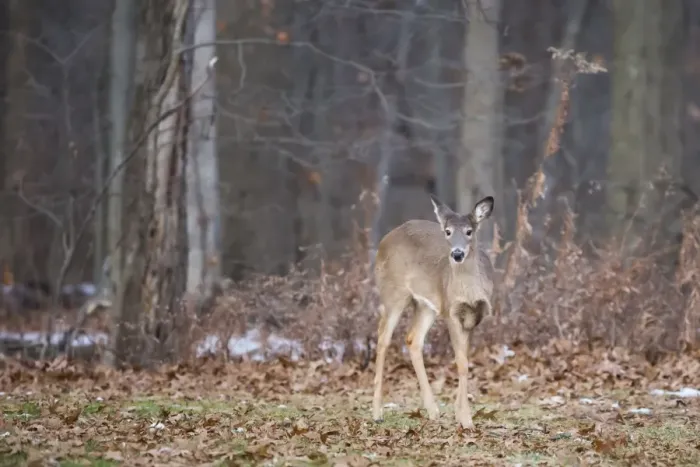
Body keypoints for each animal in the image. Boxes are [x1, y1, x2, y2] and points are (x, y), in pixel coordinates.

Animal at [371, 194, 495, 429]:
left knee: (413, 339)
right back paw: (377, 412)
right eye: (447, 231)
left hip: (426, 305)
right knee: (382, 338)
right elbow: (461, 363)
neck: (468, 291)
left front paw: (460, 414)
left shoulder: (473, 317)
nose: (457, 254)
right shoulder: (450, 311)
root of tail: (385, 239)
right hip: (394, 293)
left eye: (469, 231)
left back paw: (433, 410)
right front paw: (466, 420)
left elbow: (465, 361)